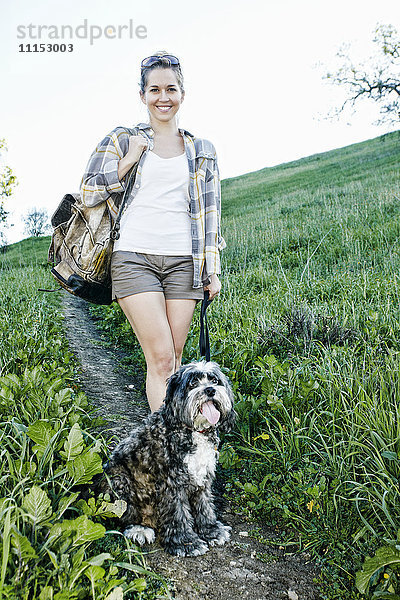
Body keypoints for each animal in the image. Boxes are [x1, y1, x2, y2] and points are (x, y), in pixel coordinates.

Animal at [101, 358, 236, 556]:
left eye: (214, 380)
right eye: (193, 383)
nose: (210, 390)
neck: (192, 430)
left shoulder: (203, 477)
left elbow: (204, 506)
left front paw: (211, 530)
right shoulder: (172, 482)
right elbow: (178, 513)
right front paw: (186, 543)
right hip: (119, 480)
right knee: (121, 514)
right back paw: (139, 529)